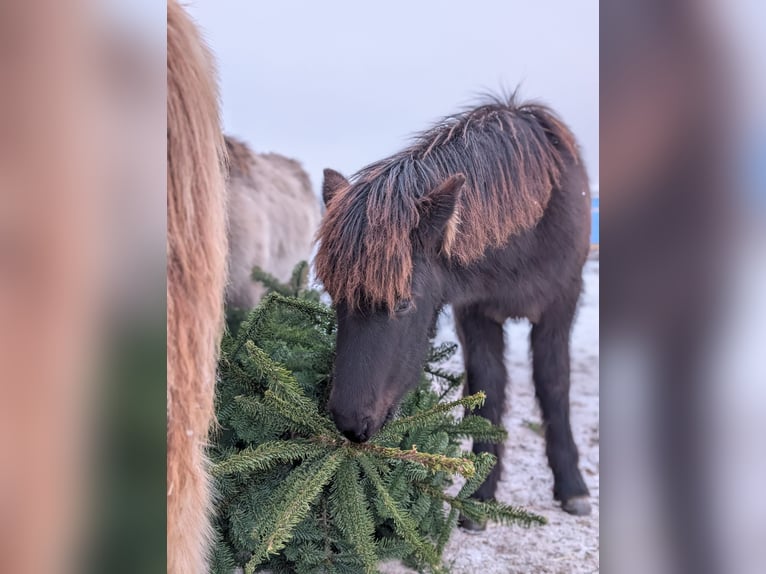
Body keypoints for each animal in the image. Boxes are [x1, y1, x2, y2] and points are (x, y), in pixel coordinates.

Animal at [315, 95, 592, 523]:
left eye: (403, 302)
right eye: (333, 296)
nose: (349, 424)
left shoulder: (559, 308)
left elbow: (553, 384)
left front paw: (572, 487)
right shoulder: (474, 312)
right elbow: (486, 387)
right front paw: (478, 494)